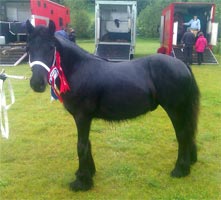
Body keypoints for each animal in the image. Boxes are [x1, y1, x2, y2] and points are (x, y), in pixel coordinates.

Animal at [25, 20, 200, 191]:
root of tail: (182, 64)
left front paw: (82, 182)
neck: (79, 69)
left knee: (182, 135)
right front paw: (88, 172)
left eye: (51, 47)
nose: (37, 83)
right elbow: (87, 143)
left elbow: (81, 146)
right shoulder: (83, 118)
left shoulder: (82, 117)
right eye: (28, 48)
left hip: (175, 109)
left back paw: (180, 169)